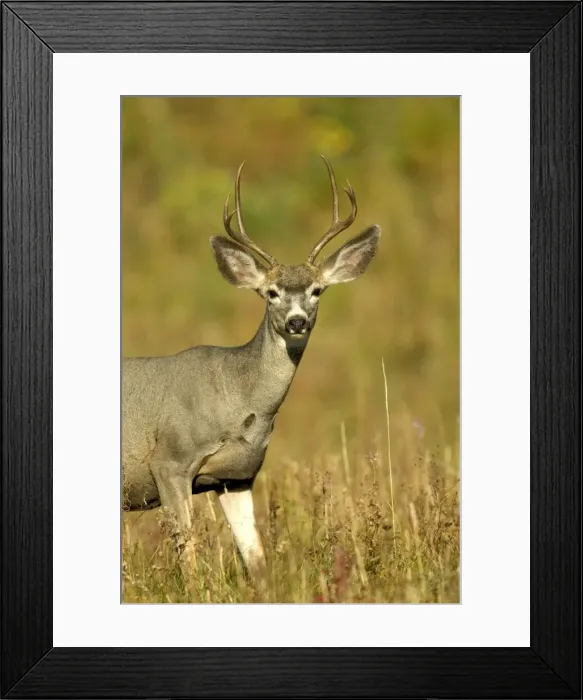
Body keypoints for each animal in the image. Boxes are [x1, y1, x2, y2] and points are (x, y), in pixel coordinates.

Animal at [122, 156, 381, 581]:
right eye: (270, 293)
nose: (296, 321)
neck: (238, 398)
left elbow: (256, 557)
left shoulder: (236, 476)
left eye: (317, 290)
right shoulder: (169, 461)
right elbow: (189, 556)